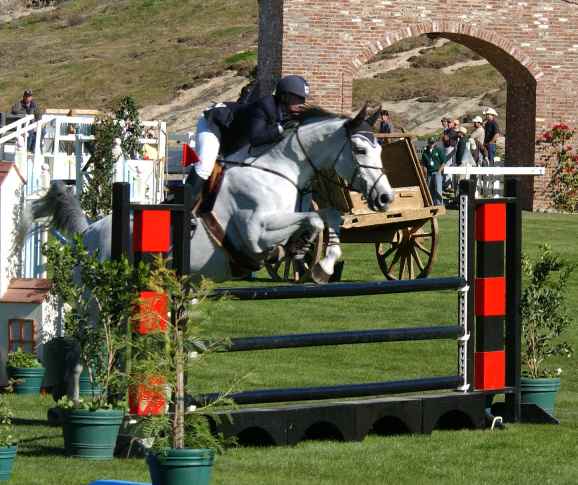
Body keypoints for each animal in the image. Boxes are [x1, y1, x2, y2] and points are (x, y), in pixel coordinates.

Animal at [29, 105, 394, 280]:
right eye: (360, 149)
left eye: (380, 148)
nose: (385, 198)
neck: (279, 170)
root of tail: (88, 231)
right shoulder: (255, 233)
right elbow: (315, 220)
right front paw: (306, 255)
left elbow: (326, 216)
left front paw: (318, 263)